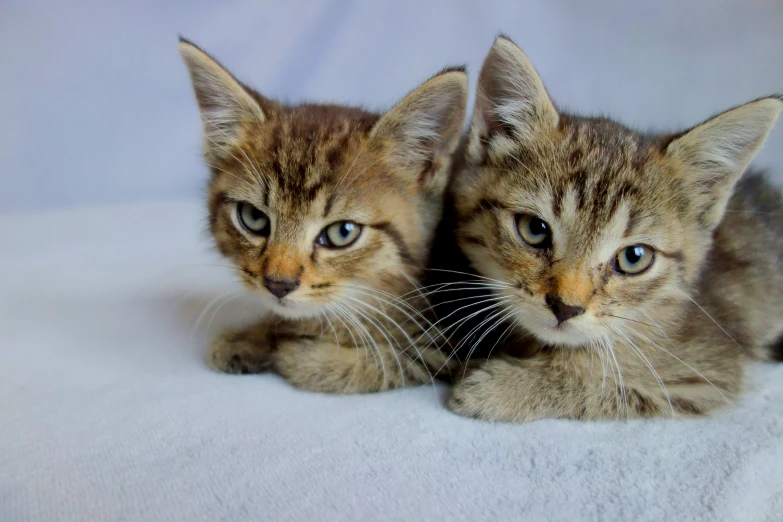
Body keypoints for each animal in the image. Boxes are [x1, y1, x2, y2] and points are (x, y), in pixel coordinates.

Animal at [181, 37, 468, 390]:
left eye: (342, 233)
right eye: (253, 218)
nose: (278, 285)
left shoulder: (450, 339)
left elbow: (385, 362)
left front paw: (296, 351)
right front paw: (254, 336)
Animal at [448, 35, 783, 418]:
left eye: (634, 257)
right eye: (534, 229)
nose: (566, 308)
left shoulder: (702, 377)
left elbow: (600, 378)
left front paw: (498, 389)